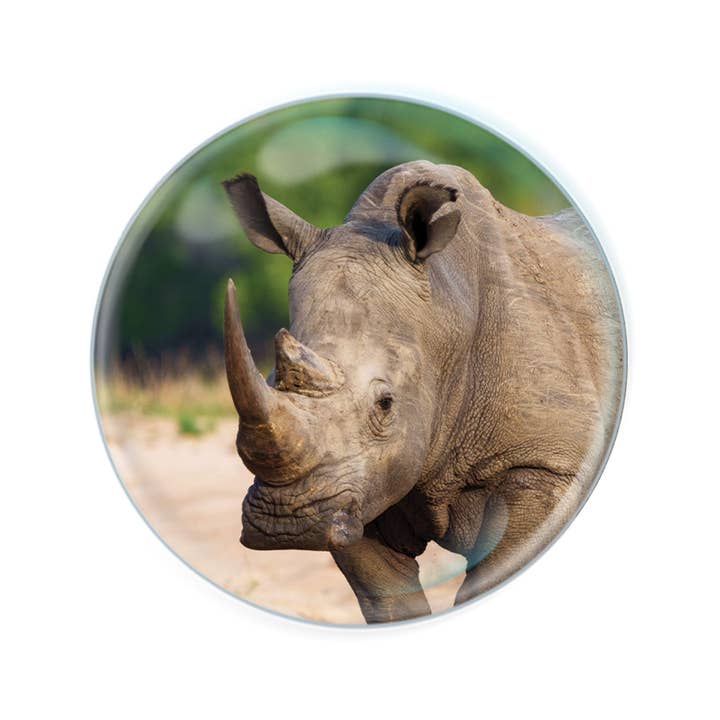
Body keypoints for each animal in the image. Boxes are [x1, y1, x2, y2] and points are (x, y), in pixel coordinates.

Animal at [222, 160, 624, 624]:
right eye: (272, 379)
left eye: (385, 404)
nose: (285, 521)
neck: (447, 318)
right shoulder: (358, 484)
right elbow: (388, 599)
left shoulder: (545, 461)